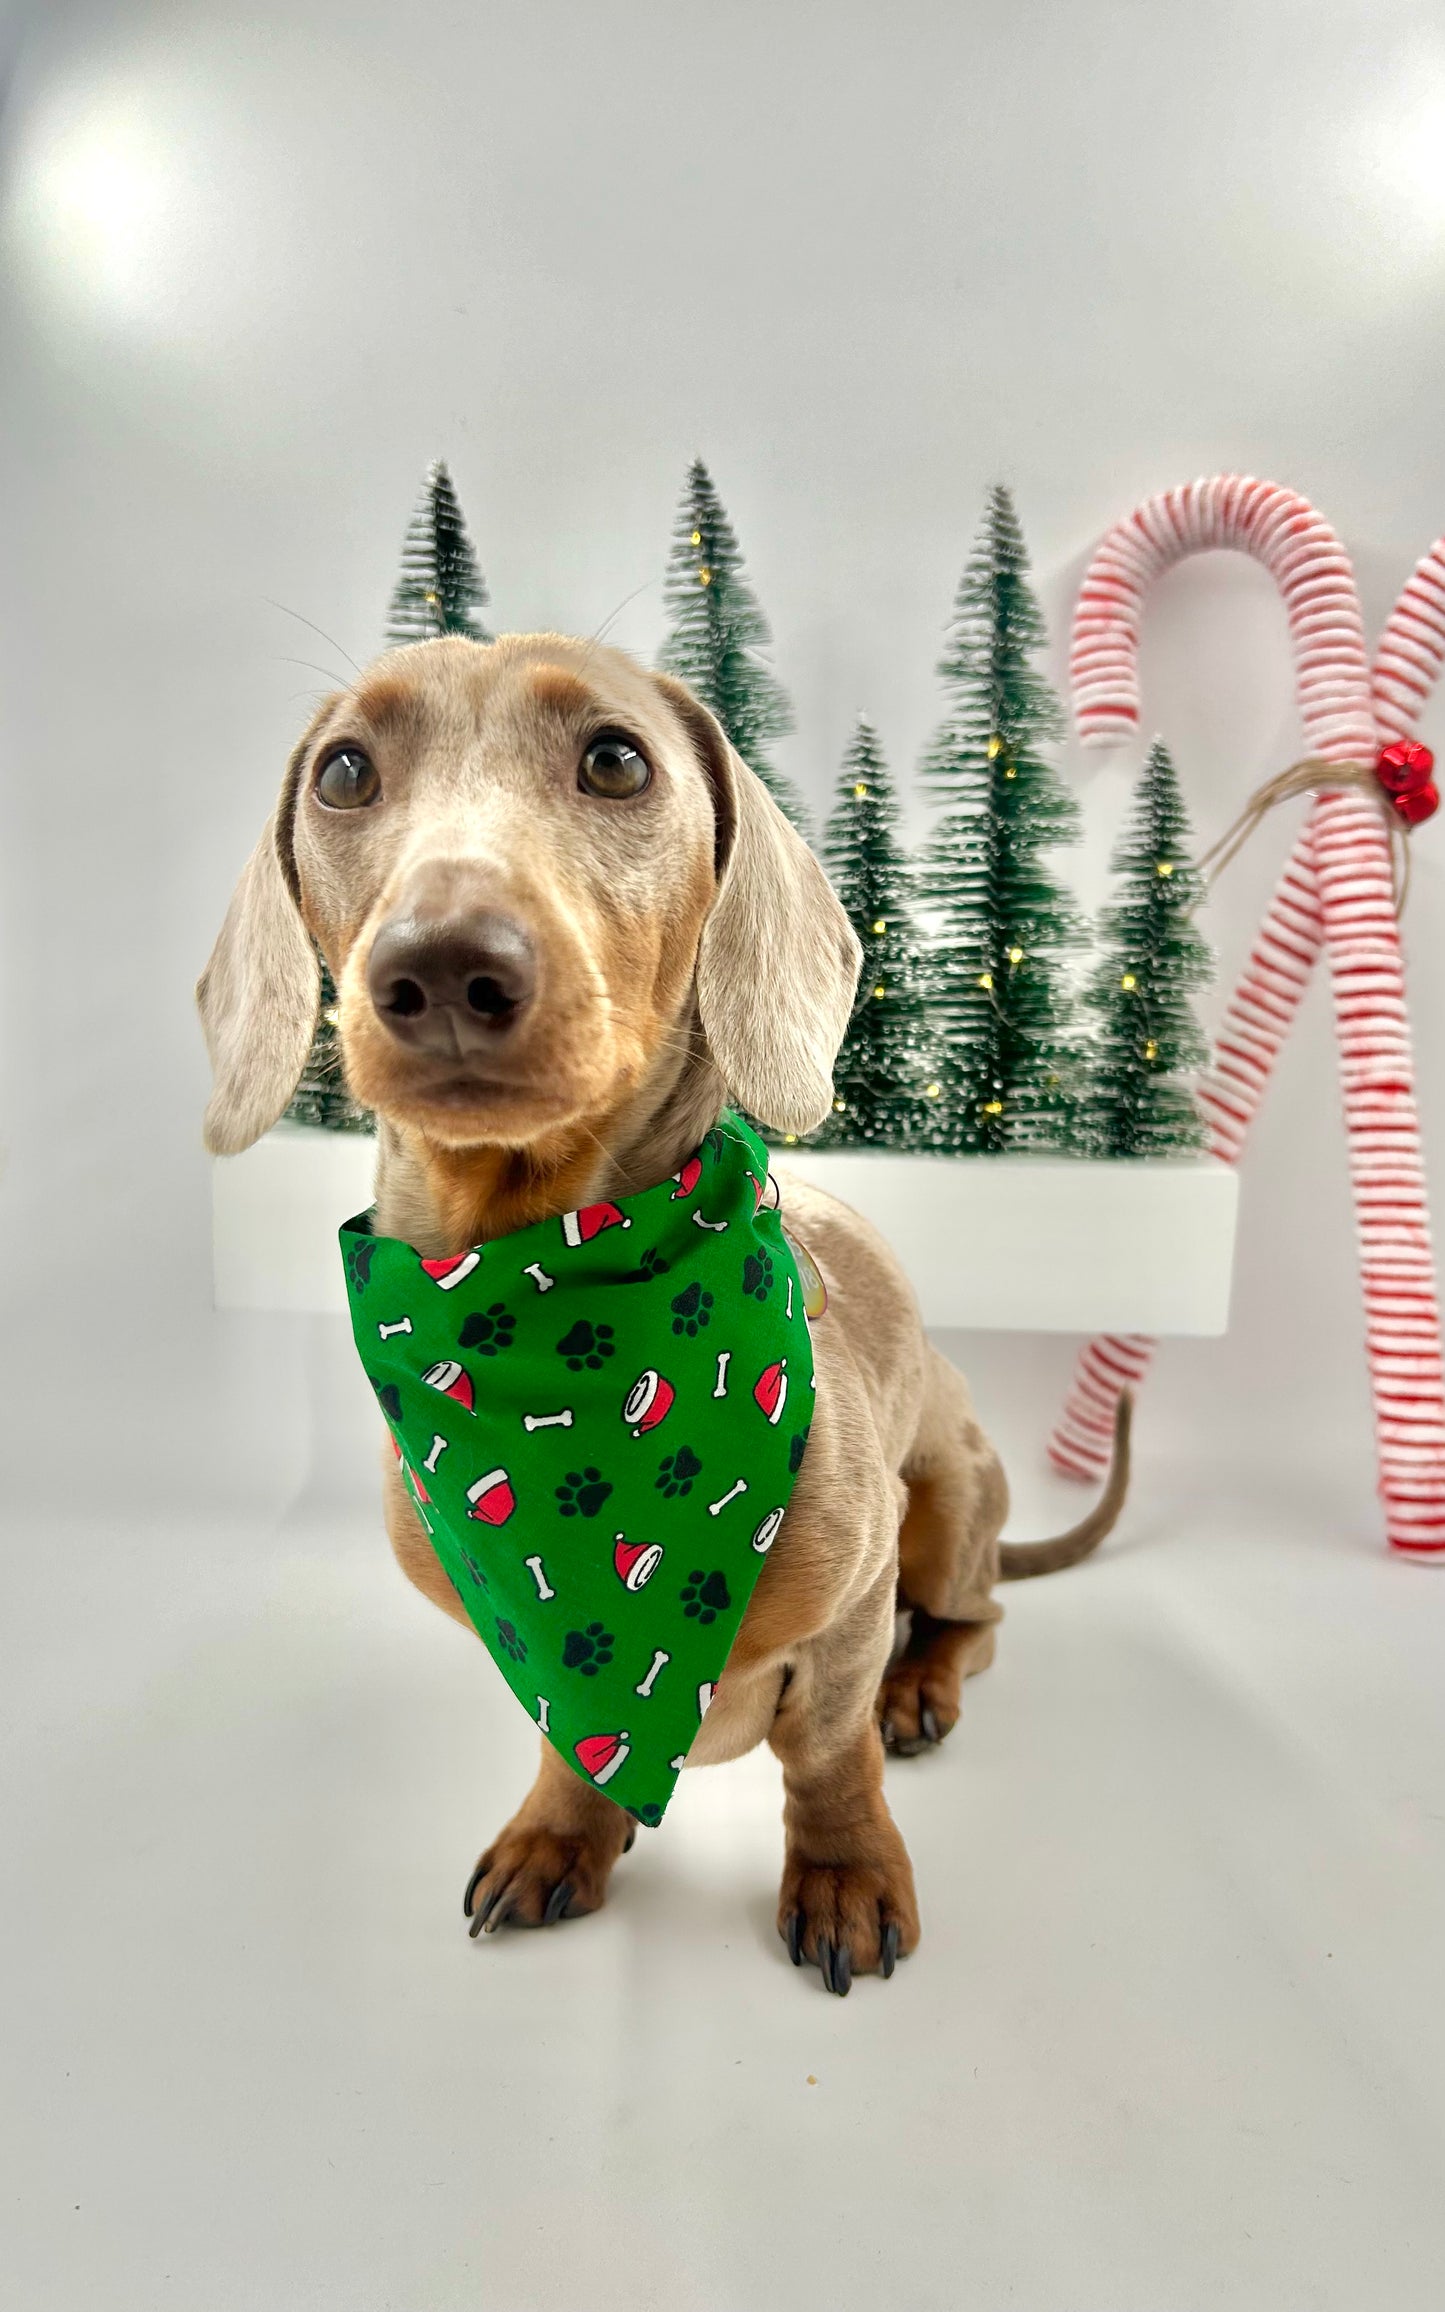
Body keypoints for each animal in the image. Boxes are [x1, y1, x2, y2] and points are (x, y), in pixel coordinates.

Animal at [199, 633, 1128, 1988]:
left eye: (615, 758)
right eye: (344, 772)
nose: (441, 967)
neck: (543, 1299)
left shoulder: (851, 1607)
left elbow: (828, 1748)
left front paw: (843, 1869)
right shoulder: (536, 1648)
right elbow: (564, 1741)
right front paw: (558, 1831)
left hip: (953, 1492)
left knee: (974, 1616)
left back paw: (922, 1687)